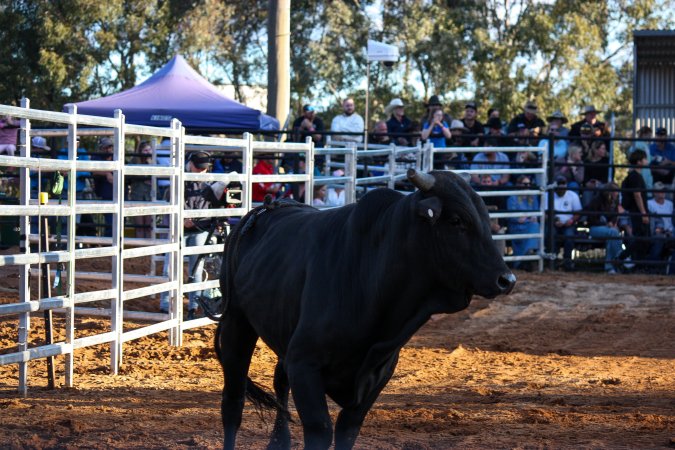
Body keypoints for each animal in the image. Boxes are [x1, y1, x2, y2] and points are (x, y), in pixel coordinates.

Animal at [215, 169, 516, 450]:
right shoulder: (304, 364)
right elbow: (320, 430)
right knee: (233, 404)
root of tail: (263, 209)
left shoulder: (377, 375)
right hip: (236, 324)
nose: (507, 280)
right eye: (456, 221)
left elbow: (347, 431)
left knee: (279, 382)